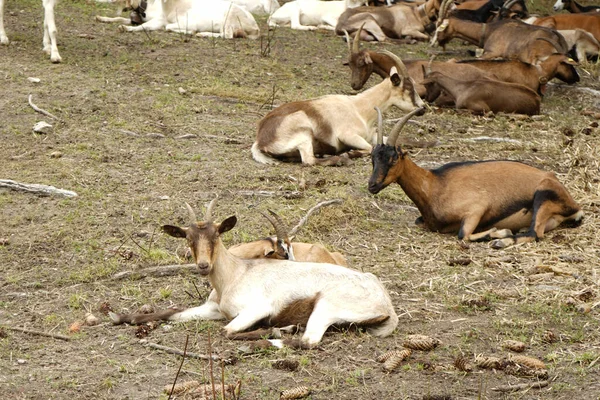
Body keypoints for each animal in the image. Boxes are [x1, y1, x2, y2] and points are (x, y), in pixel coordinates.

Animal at [111, 202, 398, 348]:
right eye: (189, 239)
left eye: (216, 236)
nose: (203, 265)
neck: (236, 273)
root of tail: (387, 304)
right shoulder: (213, 309)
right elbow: (170, 312)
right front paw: (117, 316)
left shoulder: (255, 310)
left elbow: (227, 331)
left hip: (325, 308)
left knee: (308, 341)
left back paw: (283, 331)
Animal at [251, 50, 424, 166]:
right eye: (408, 87)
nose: (423, 108)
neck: (359, 108)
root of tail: (260, 140)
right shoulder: (348, 136)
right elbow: (371, 147)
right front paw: (351, 153)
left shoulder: (372, 136)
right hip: (304, 133)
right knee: (309, 161)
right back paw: (343, 159)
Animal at [368, 108, 584, 248]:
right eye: (373, 157)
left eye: (393, 158)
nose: (372, 185)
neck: (435, 184)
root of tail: (575, 207)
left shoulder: (476, 208)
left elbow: (462, 235)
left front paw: (499, 232)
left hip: (542, 196)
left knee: (534, 234)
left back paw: (501, 240)